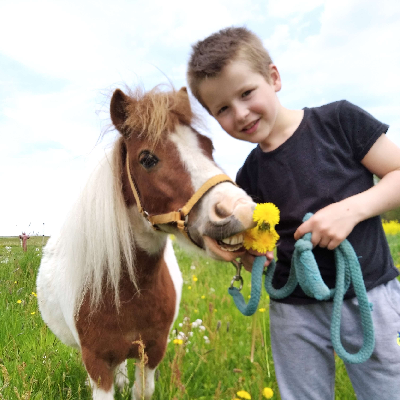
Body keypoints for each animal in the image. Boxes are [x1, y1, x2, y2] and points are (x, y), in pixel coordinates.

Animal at [36, 86, 256, 400]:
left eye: (209, 147)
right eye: (147, 158)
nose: (240, 211)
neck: (126, 288)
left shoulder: (152, 352)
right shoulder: (97, 362)